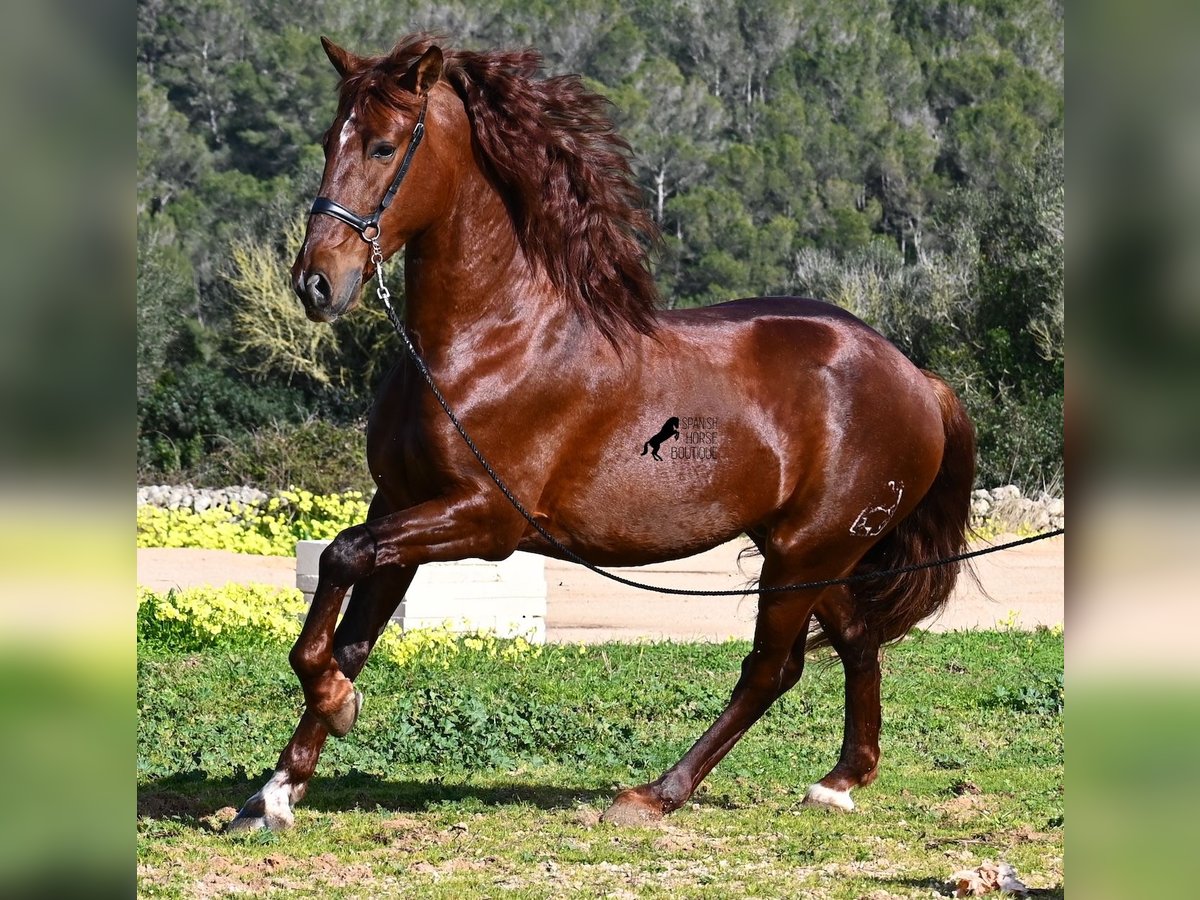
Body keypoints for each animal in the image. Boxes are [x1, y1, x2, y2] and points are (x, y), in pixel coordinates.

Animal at [226, 37, 974, 840]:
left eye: (382, 145)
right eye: (325, 141)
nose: (315, 284)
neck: (489, 341)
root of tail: (917, 377)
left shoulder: (481, 518)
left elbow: (338, 560)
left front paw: (336, 709)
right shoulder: (397, 503)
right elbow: (351, 633)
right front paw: (275, 792)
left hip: (809, 551)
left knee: (774, 668)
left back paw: (656, 793)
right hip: (809, 554)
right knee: (856, 640)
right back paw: (839, 781)